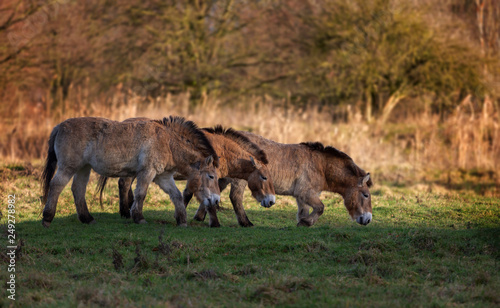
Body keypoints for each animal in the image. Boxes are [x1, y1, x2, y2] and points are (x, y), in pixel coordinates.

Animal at [42, 115, 222, 226]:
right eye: (211, 176)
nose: (216, 200)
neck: (167, 142)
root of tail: (59, 126)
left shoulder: (163, 177)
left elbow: (176, 195)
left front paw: (182, 220)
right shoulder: (147, 172)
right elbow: (140, 194)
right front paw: (138, 217)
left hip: (83, 168)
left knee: (78, 189)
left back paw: (87, 219)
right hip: (68, 167)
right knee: (56, 186)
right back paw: (47, 218)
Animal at [99, 124, 276, 227]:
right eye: (264, 177)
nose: (271, 201)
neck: (221, 151)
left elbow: (189, 195)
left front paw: (184, 214)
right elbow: (209, 200)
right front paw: (215, 223)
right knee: (124, 184)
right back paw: (125, 212)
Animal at [193, 131, 374, 227]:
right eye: (365, 195)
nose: (368, 219)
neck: (320, 165)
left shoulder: (301, 196)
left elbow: (304, 211)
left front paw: (302, 223)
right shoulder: (306, 192)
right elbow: (321, 208)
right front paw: (307, 222)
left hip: (224, 178)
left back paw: (200, 217)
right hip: (240, 180)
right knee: (235, 198)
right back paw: (246, 222)